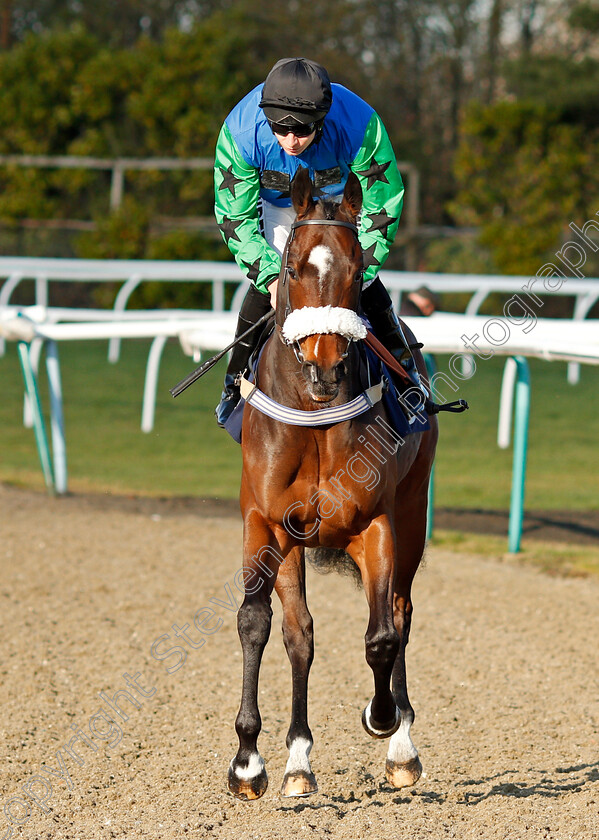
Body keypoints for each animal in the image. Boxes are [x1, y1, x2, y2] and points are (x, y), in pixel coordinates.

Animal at [227, 166, 438, 800]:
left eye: (355, 266)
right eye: (293, 266)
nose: (325, 367)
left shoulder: (376, 523)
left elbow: (382, 635)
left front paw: (384, 720)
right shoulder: (266, 523)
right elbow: (259, 624)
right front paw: (248, 761)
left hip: (414, 516)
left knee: (401, 612)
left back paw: (401, 744)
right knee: (300, 634)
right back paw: (297, 758)